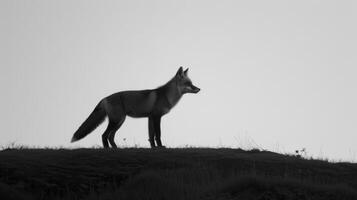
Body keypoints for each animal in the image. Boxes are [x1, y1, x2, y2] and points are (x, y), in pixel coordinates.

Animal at [71, 67, 199, 148]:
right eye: (188, 83)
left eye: (192, 83)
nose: (199, 89)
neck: (167, 95)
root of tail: (104, 98)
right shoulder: (157, 117)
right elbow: (158, 134)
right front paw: (161, 147)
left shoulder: (150, 117)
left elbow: (151, 136)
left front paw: (154, 148)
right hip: (116, 120)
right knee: (104, 135)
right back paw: (108, 150)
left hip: (120, 121)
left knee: (111, 136)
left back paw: (116, 149)